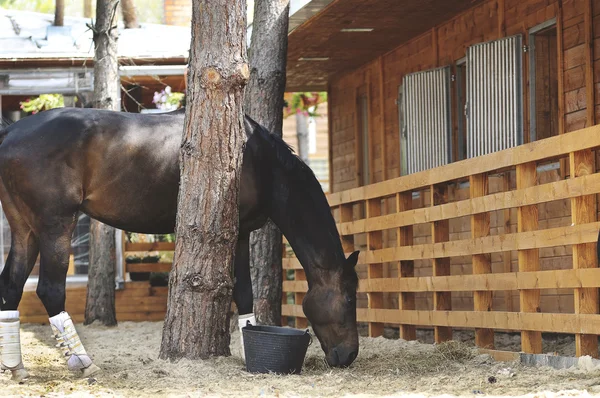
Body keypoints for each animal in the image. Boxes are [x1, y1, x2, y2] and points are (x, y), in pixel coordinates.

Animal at [0, 107, 356, 380]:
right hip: (55, 226)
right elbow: (244, 291)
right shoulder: (239, 232)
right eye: (351, 299)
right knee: (49, 290)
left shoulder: (240, 234)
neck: (258, 158)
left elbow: (244, 294)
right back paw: (84, 363)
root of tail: (11, 131)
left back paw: (16, 367)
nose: (349, 355)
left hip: (25, 229)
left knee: (11, 287)